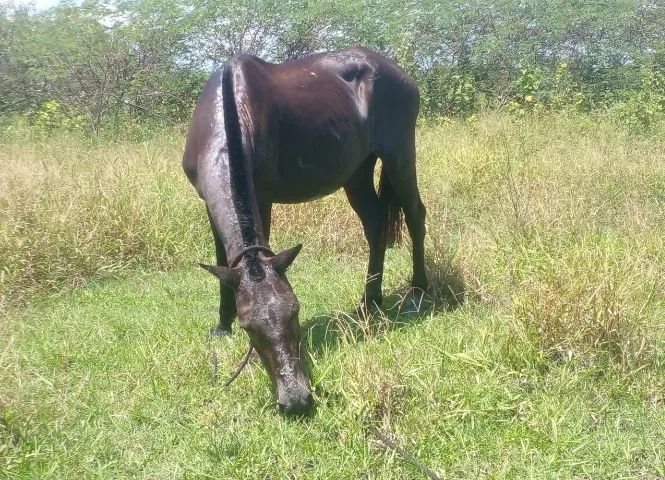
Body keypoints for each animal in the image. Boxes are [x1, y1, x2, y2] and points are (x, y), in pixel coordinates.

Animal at [182, 46, 427, 415]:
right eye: (249, 326)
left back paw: (419, 290)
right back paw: (369, 301)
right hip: (356, 172)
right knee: (375, 225)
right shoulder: (208, 203)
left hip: (400, 157)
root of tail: (396, 71)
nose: (296, 399)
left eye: (295, 312)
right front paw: (222, 325)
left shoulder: (262, 198)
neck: (227, 119)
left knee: (416, 215)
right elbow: (223, 263)